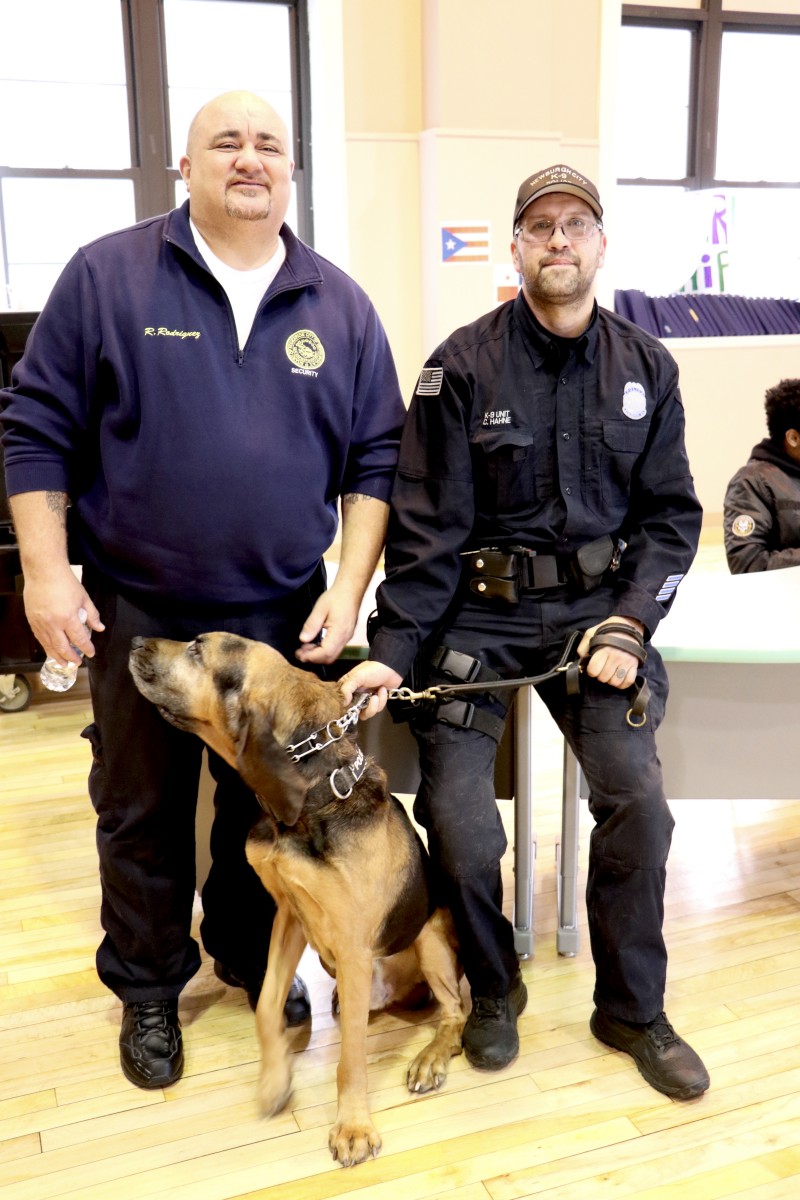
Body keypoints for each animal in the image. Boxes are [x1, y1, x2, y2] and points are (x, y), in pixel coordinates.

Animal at [128, 633, 465, 1166]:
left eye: (199, 649)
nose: (135, 640)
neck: (315, 797)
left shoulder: (352, 947)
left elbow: (350, 1059)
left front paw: (353, 1127)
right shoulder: (289, 916)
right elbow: (268, 1006)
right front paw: (274, 1082)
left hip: (429, 936)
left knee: (454, 1014)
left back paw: (429, 1059)